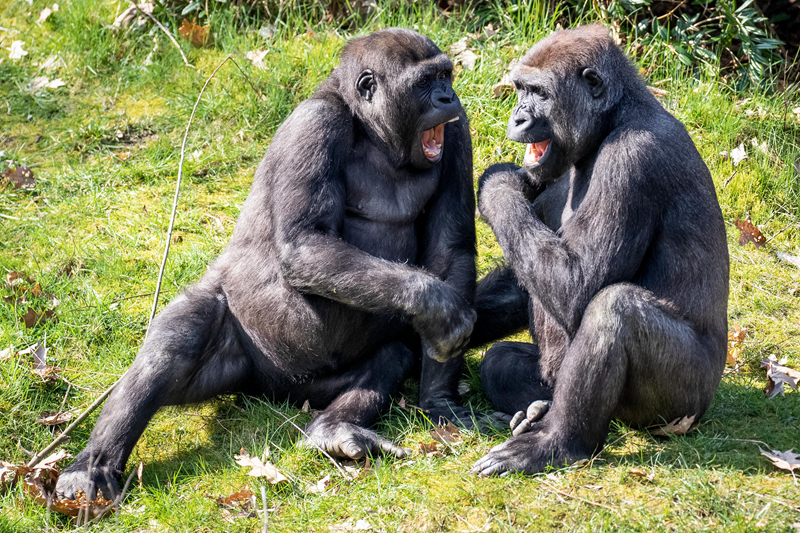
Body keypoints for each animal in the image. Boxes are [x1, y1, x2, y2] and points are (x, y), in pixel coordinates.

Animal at [57, 27, 482, 496]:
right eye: (426, 82)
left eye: (445, 75)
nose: (448, 97)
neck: (372, 130)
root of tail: (267, 390)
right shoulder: (315, 123)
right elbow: (303, 243)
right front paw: (438, 305)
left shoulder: (454, 133)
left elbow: (450, 251)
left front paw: (439, 396)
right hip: (238, 354)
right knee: (175, 342)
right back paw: (94, 463)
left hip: (307, 390)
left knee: (392, 355)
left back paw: (334, 430)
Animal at [468, 25, 732, 476]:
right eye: (520, 89)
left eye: (539, 93)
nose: (518, 117)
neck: (612, 120)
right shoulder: (551, 175)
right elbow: (525, 277)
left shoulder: (632, 160)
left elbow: (579, 285)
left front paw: (496, 186)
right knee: (500, 361)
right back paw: (539, 411)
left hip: (686, 403)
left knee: (615, 308)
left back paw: (559, 442)